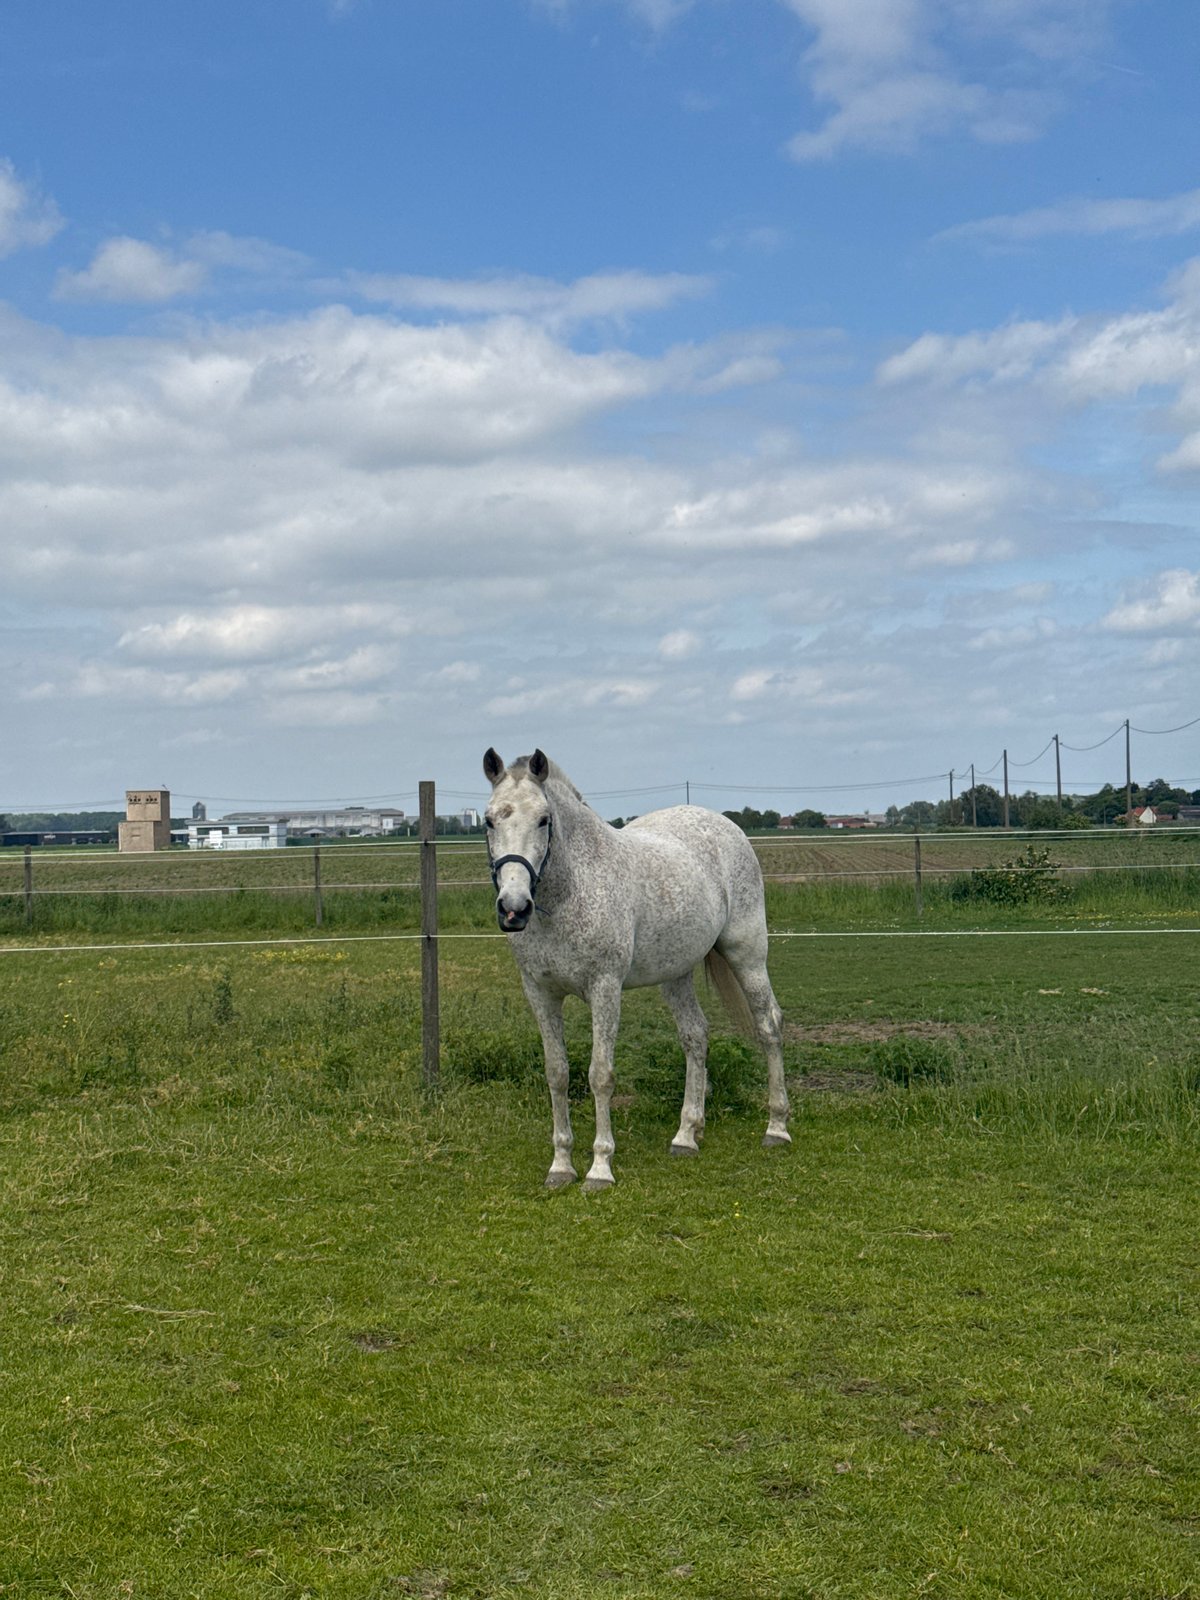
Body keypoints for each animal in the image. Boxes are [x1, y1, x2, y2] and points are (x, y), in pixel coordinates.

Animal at [482, 747, 790, 1190]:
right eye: (490, 820)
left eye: (544, 819)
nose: (514, 908)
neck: (567, 895)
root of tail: (726, 826)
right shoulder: (540, 993)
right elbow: (557, 1073)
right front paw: (560, 1165)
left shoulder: (604, 989)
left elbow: (600, 1075)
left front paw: (600, 1168)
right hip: (676, 973)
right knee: (695, 1036)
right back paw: (686, 1134)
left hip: (746, 954)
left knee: (769, 1025)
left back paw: (776, 1127)